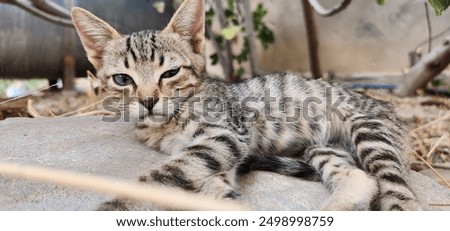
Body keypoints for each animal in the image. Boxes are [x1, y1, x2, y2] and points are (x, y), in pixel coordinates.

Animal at [71, 0, 422, 210]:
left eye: (170, 73)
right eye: (122, 79)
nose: (147, 101)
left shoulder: (224, 134)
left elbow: (168, 174)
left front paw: (115, 206)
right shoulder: (215, 151)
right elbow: (207, 181)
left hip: (371, 134)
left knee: (398, 192)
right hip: (322, 148)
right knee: (360, 179)